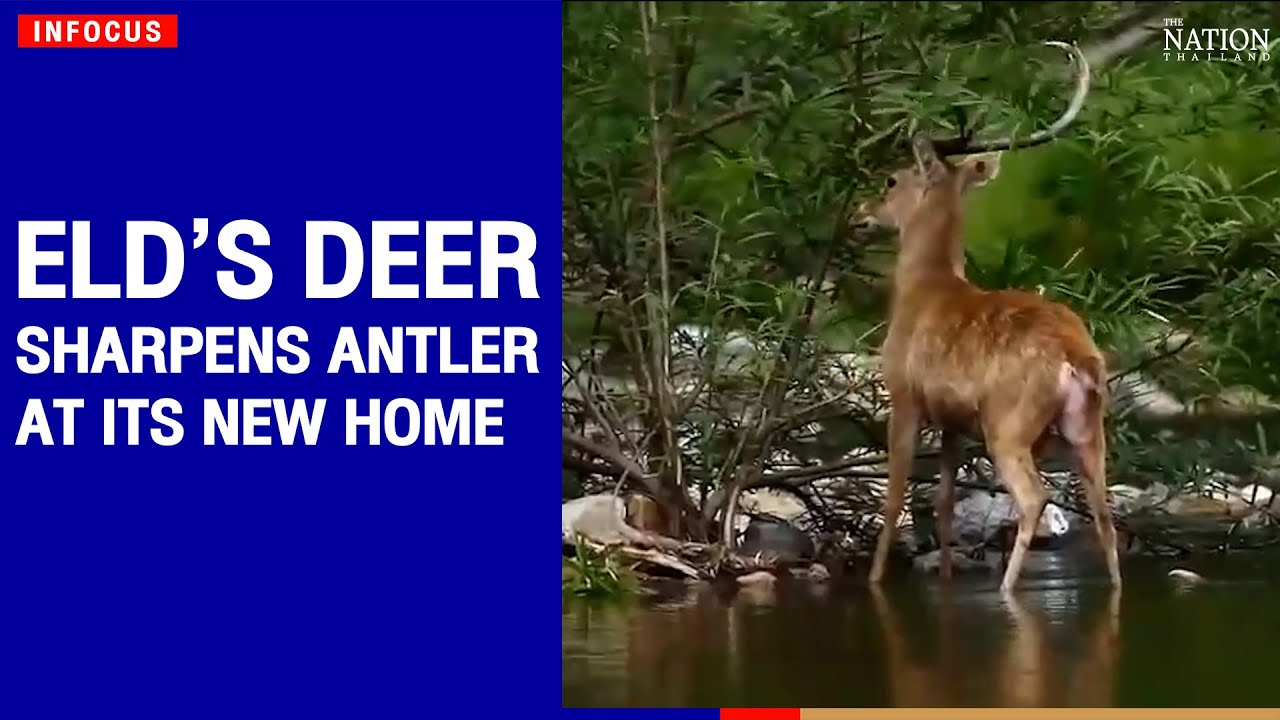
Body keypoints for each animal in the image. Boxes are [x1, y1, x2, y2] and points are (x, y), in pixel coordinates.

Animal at [850, 41, 1122, 594]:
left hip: (1009, 421)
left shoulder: (904, 394)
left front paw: (874, 580)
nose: (860, 214)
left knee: (1034, 498)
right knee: (1105, 515)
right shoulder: (952, 418)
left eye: (892, 178)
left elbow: (894, 499)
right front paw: (946, 579)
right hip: (1086, 426)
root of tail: (1076, 356)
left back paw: (1006, 588)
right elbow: (943, 501)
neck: (923, 289)